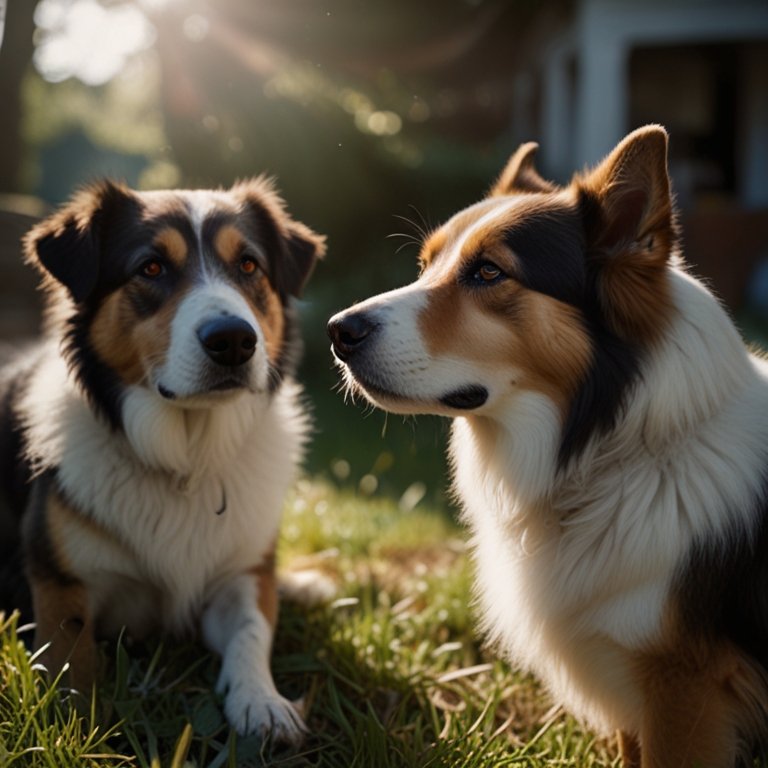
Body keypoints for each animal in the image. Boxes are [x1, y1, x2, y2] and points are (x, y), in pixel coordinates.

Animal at [0, 177, 326, 740]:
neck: (187, 456)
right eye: (151, 268)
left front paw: (262, 702)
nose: (234, 341)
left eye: (248, 266)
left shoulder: (242, 574)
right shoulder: (60, 582)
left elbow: (251, 628)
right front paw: (74, 728)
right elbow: (71, 656)